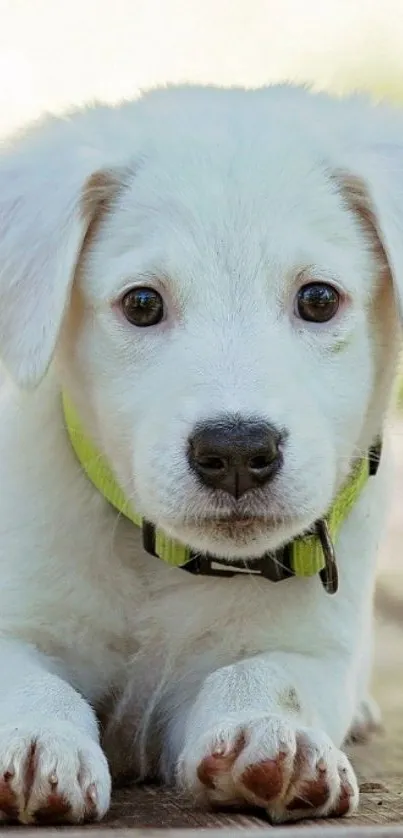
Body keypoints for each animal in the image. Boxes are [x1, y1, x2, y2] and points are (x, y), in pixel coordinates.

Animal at [0, 85, 400, 828]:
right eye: (141, 303)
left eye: (318, 299)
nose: (237, 451)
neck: (163, 562)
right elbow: (29, 679)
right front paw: (36, 739)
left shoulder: (313, 648)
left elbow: (265, 673)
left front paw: (274, 733)